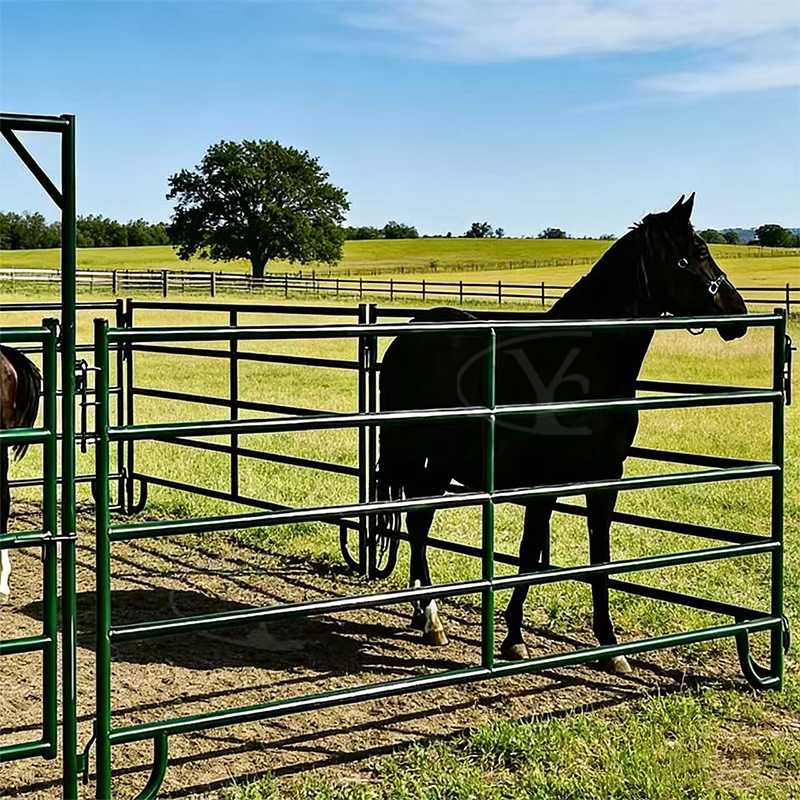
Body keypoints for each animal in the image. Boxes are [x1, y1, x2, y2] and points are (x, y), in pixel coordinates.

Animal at [376, 194, 748, 674]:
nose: (738, 314)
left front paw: (610, 647)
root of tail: (407, 335)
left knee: (418, 521)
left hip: (439, 461)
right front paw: (514, 639)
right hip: (416, 450)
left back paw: (424, 615)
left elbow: (597, 557)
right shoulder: (544, 483)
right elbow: (530, 554)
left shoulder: (605, 478)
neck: (581, 365)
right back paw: (432, 619)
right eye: (699, 252)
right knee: (417, 522)